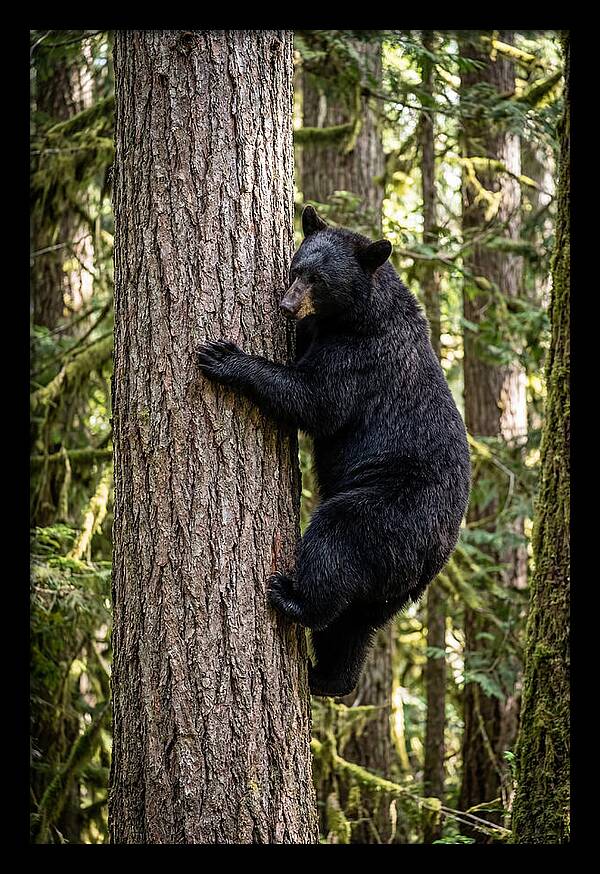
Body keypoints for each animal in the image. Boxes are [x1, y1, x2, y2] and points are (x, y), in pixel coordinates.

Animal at [197, 205, 471, 697]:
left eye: (319, 280)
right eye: (296, 268)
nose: (287, 305)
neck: (358, 315)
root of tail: (435, 555)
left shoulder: (361, 358)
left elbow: (315, 399)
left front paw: (225, 356)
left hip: (387, 512)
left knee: (335, 544)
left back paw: (292, 598)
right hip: (393, 586)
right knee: (355, 624)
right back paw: (329, 677)